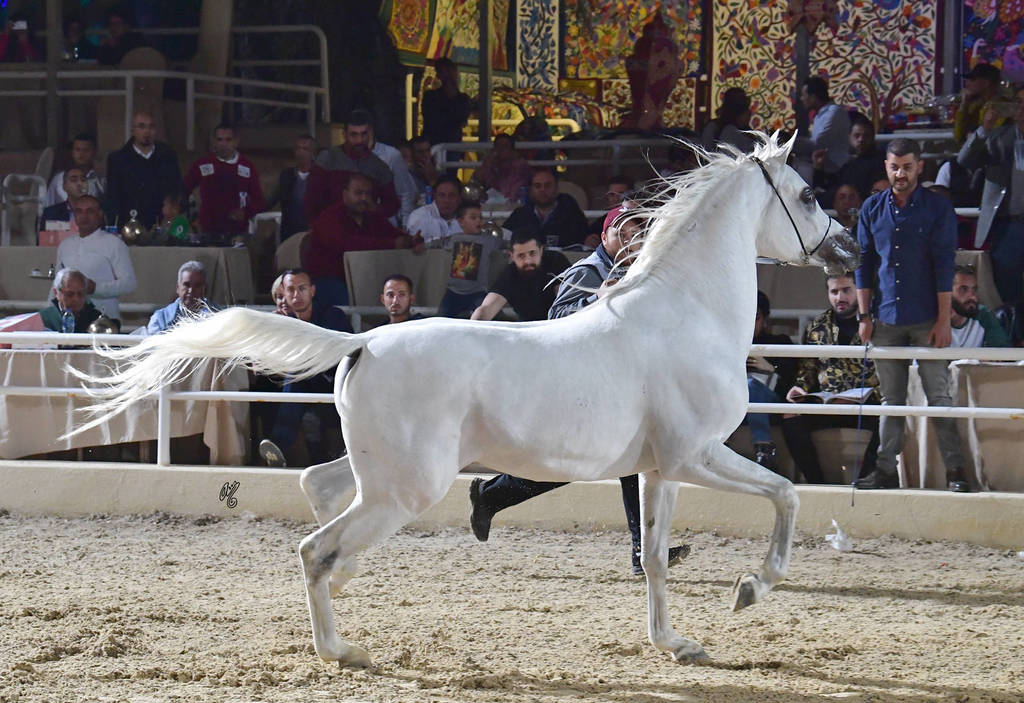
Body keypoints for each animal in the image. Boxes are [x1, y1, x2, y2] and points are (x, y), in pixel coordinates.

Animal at [72, 132, 859, 667]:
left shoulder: (658, 469)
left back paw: (347, 593)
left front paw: (677, 642)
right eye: (810, 195)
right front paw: (751, 588)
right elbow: (787, 494)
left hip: (386, 473)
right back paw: (342, 650)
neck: (684, 314)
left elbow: (660, 557)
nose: (849, 250)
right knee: (313, 548)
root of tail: (361, 343)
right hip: (408, 487)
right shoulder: (697, 455)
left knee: (318, 489)